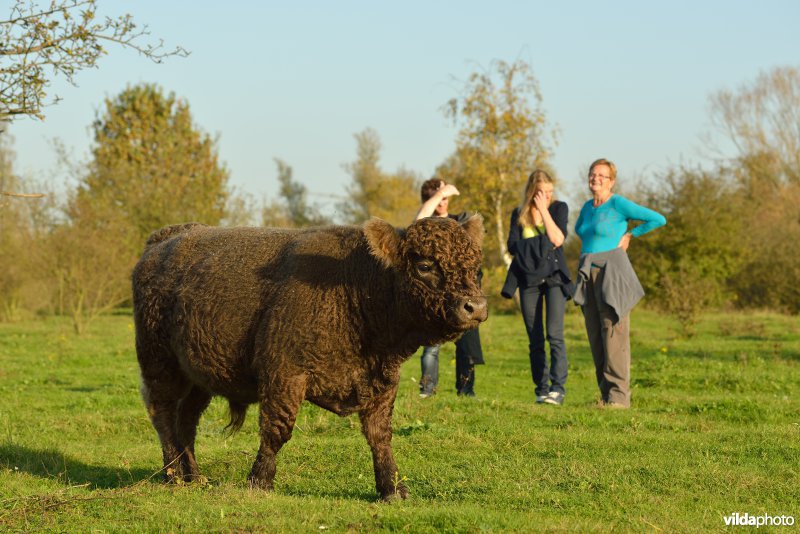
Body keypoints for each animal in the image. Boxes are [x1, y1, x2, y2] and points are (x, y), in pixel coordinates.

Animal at [131, 217, 488, 502]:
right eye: (425, 265)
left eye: (475, 268)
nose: (476, 306)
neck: (356, 287)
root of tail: (166, 238)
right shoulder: (283, 375)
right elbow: (277, 430)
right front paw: (259, 482)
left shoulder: (383, 383)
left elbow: (380, 436)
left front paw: (393, 489)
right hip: (160, 366)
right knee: (163, 415)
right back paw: (173, 475)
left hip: (198, 378)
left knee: (186, 421)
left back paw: (193, 475)